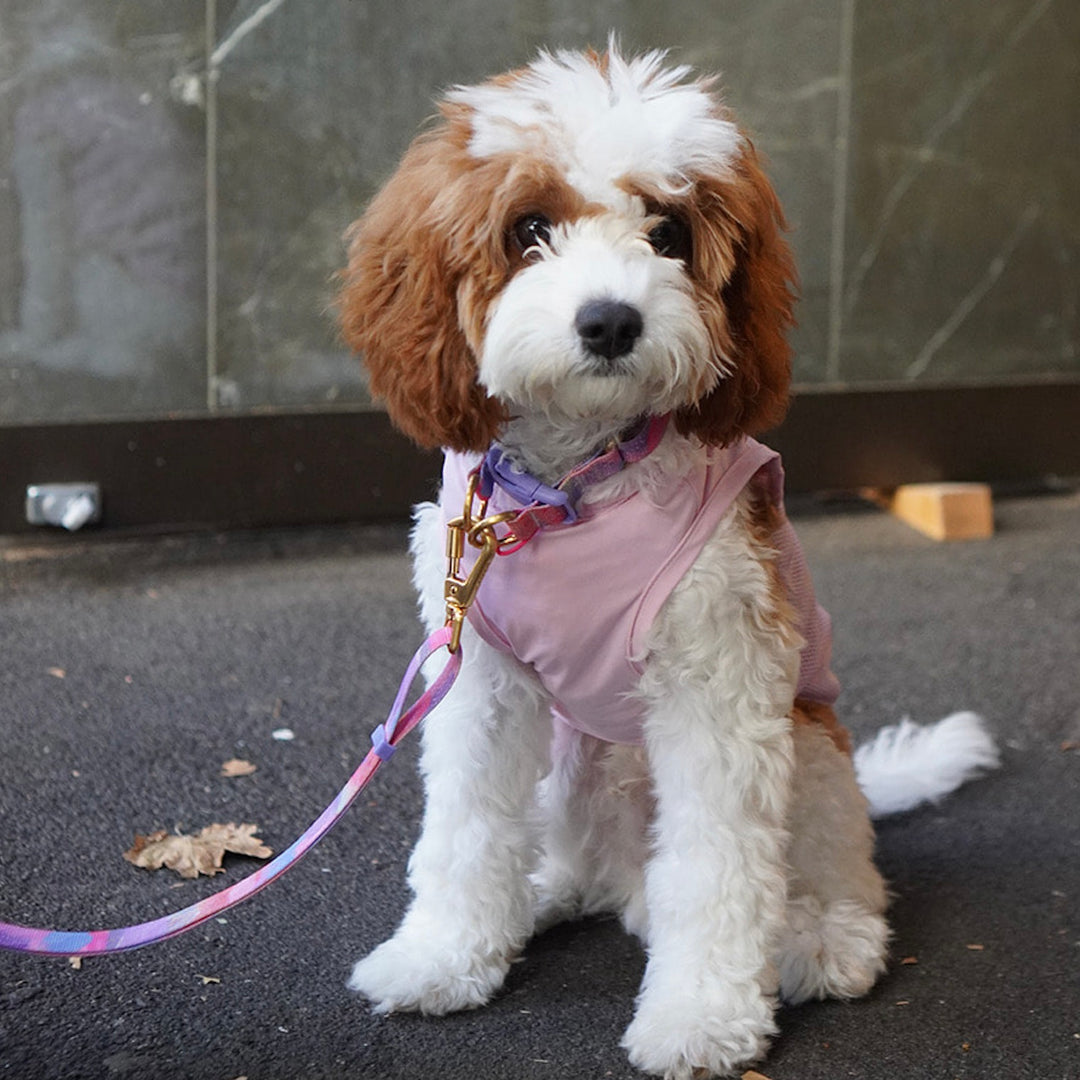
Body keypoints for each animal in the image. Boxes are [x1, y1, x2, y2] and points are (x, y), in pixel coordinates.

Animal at [338, 44, 999, 1079]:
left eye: (669, 232)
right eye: (529, 229)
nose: (611, 322)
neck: (573, 490)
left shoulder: (722, 685)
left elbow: (717, 865)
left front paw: (701, 1017)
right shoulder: (480, 677)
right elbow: (466, 825)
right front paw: (442, 957)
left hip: (813, 752)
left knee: (830, 881)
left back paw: (821, 939)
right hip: (579, 756)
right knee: (570, 862)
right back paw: (548, 890)